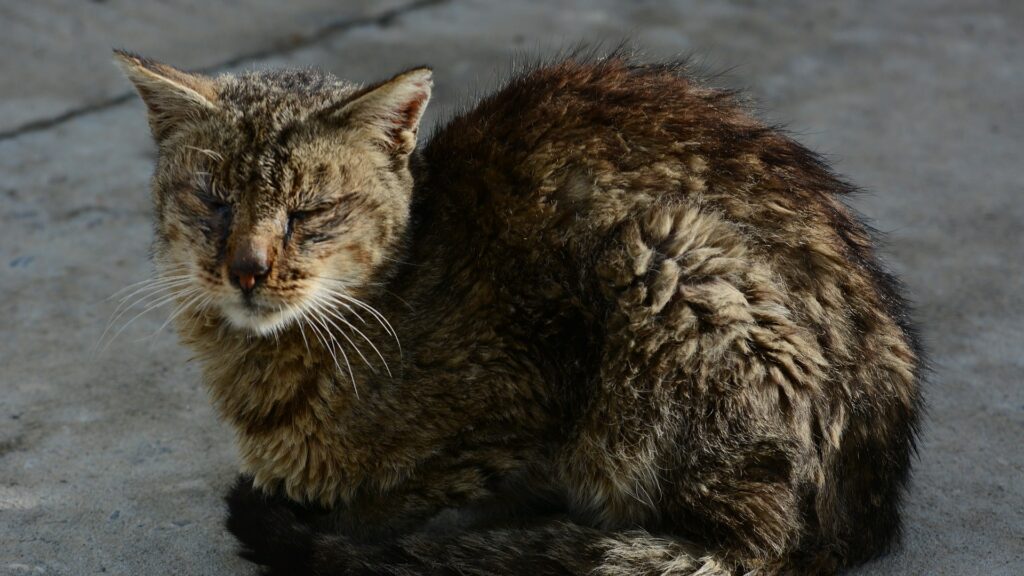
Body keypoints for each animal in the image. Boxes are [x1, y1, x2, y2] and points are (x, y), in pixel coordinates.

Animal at [116, 50, 925, 573]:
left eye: (308, 213)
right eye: (214, 201)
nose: (246, 268)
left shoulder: (521, 403)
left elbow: (406, 503)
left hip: (671, 261)